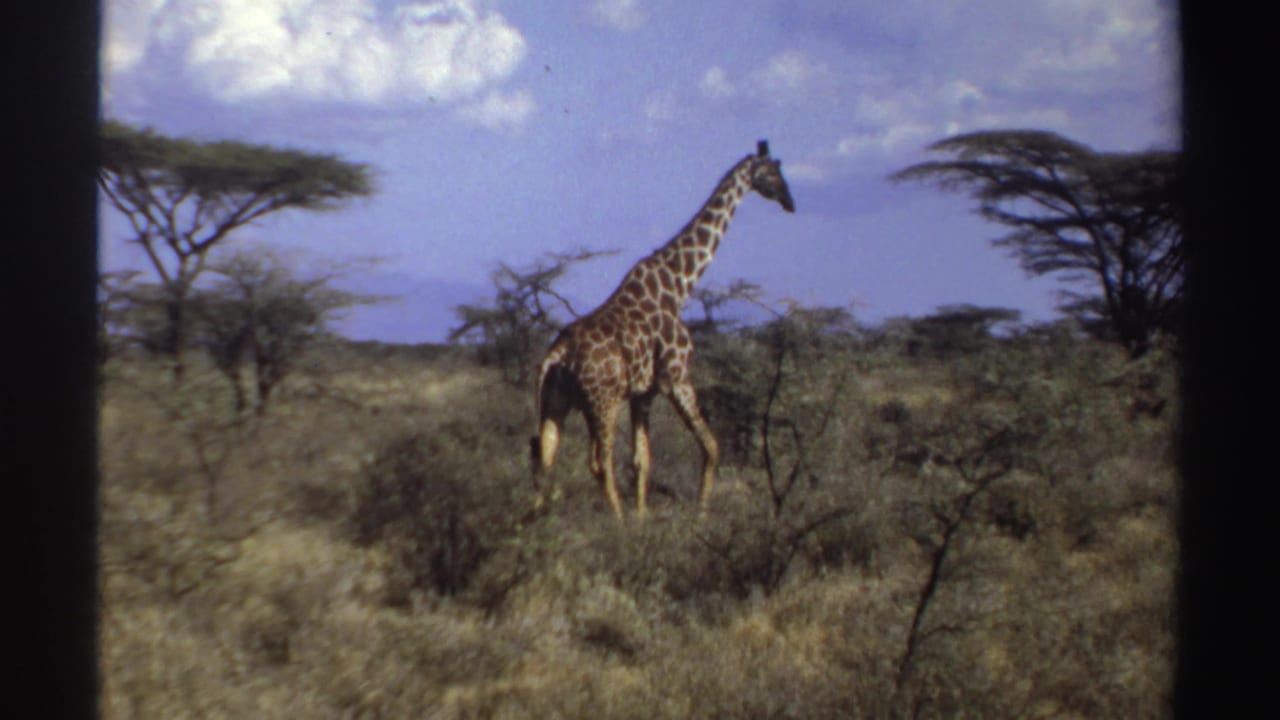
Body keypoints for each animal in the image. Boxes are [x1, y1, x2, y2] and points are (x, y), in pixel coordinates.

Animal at [530, 140, 795, 520]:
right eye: (773, 171)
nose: (790, 201)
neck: (678, 285)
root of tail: (557, 353)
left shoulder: (644, 393)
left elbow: (642, 461)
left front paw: (644, 520)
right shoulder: (676, 377)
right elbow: (712, 446)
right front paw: (700, 516)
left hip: (556, 400)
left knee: (545, 456)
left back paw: (536, 523)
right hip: (602, 400)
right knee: (598, 462)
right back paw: (617, 524)